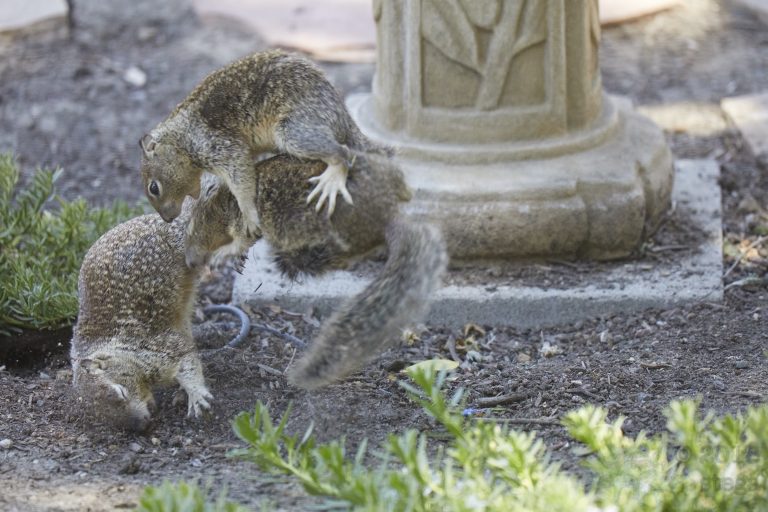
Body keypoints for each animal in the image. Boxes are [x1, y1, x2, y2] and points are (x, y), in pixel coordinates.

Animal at [70, 193, 258, 431]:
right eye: (106, 420)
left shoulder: (160, 349)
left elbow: (188, 364)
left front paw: (196, 397)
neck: (120, 349)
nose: (141, 424)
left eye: (120, 392)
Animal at [139, 49, 391, 232]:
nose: (167, 218)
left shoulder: (217, 145)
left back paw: (331, 181)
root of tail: (342, 115)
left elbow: (240, 178)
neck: (179, 138)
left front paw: (249, 216)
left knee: (343, 152)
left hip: (295, 131)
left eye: (154, 188)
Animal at [185, 153, 448, 390]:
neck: (223, 200)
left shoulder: (242, 218)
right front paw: (236, 258)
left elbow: (241, 238)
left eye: (192, 227)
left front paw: (225, 254)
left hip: (298, 223)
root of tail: (386, 218)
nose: (191, 261)